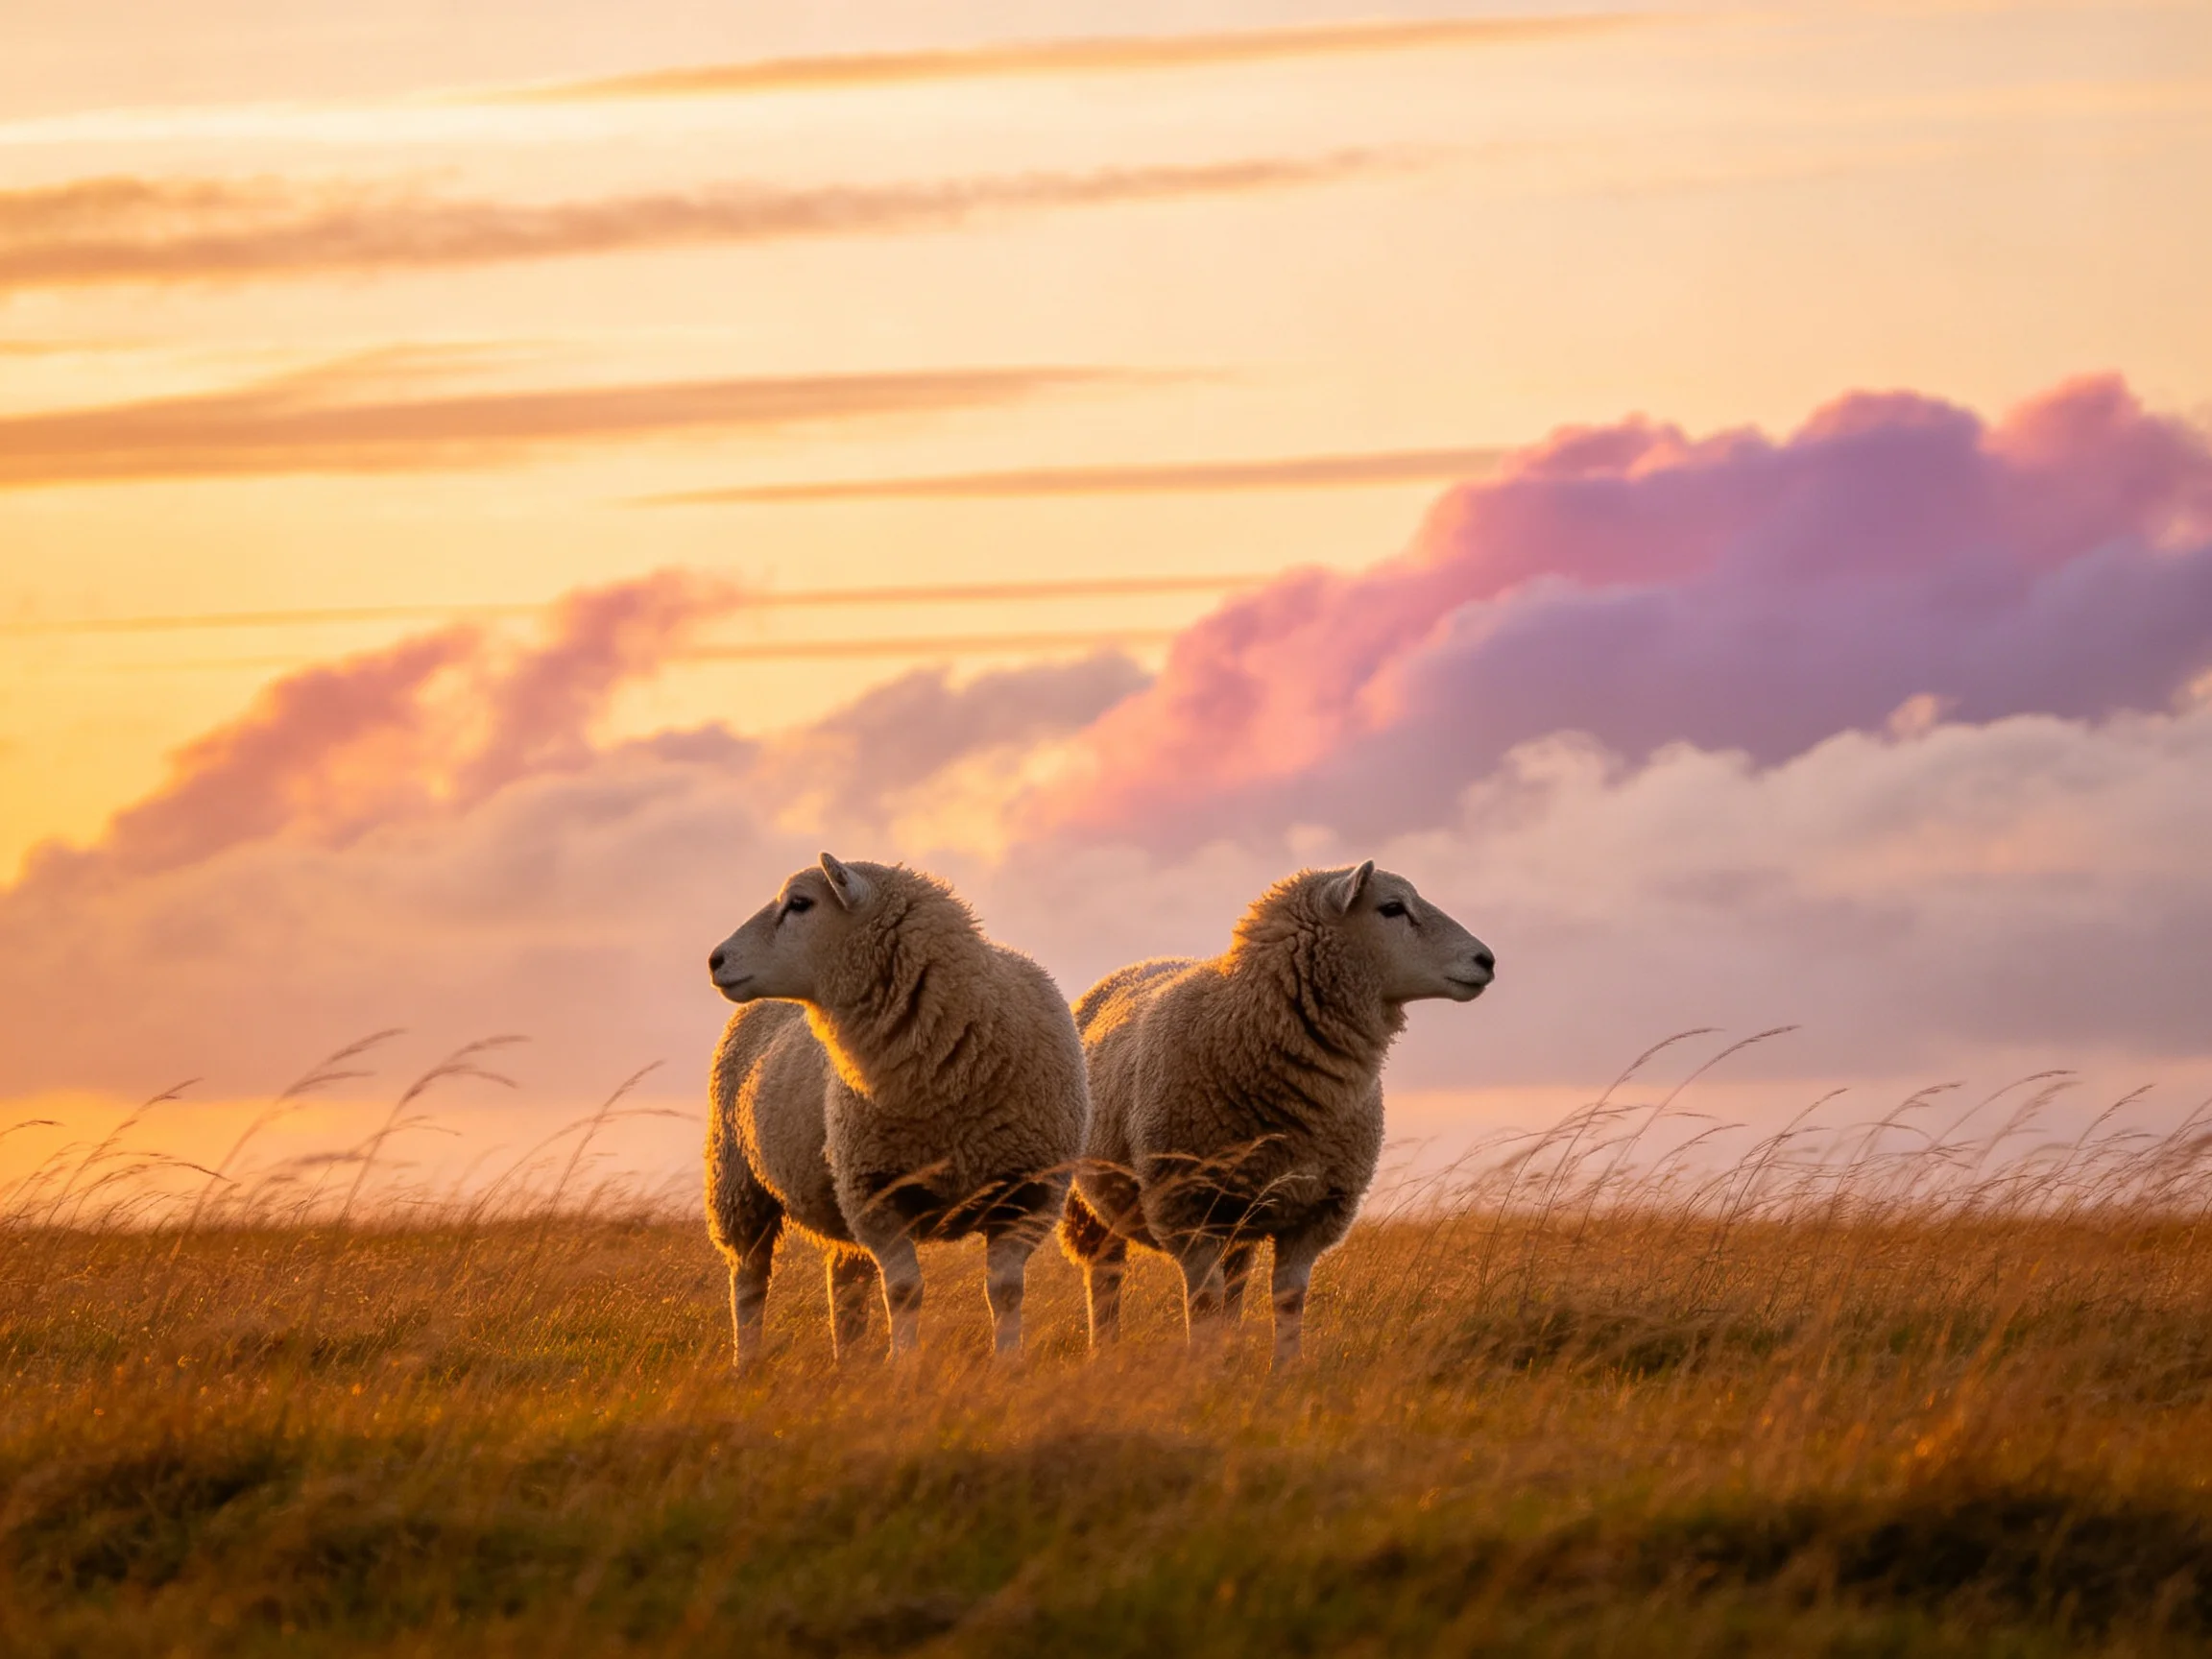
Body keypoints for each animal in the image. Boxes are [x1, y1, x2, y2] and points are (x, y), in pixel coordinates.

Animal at [705, 854, 1088, 1366]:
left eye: (800, 903)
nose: (715, 960)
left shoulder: (1030, 1191)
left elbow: (1006, 1290)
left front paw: (1009, 1363)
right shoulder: (875, 1192)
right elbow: (905, 1291)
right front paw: (904, 1364)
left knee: (846, 1280)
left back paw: (846, 1361)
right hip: (738, 1182)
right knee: (748, 1282)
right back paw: (746, 1361)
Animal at [1061, 861, 1493, 1368]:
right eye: (1391, 908)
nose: (1487, 960)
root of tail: (1142, 963)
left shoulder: (1318, 1206)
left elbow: (1288, 1298)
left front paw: (1283, 1370)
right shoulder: (1185, 1204)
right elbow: (1202, 1300)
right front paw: (1201, 1370)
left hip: (1239, 1211)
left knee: (1234, 1282)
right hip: (1089, 1204)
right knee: (1106, 1275)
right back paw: (1105, 1351)